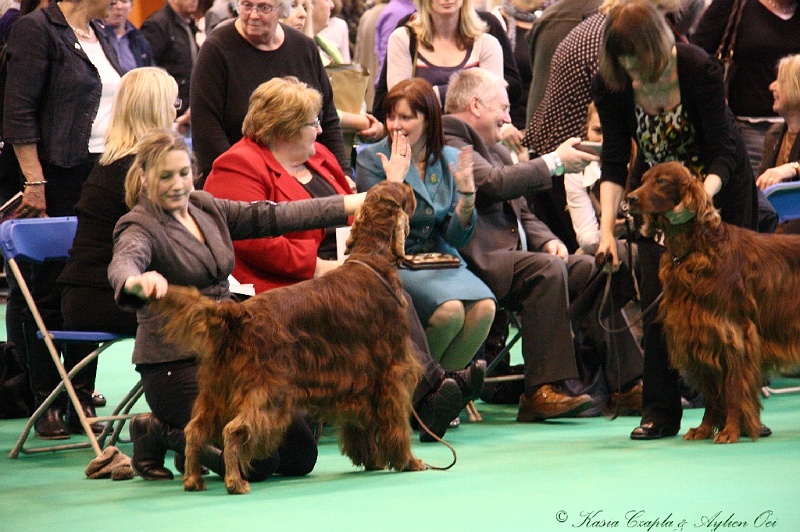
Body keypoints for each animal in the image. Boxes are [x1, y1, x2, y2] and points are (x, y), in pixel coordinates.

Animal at [149, 183, 424, 494]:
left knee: (195, 429)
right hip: (271, 390)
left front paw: (372, 461)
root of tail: (238, 313)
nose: (411, 186)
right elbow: (398, 423)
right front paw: (408, 461)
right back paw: (235, 481)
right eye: (405, 193)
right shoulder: (393, 372)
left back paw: (193, 479)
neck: (373, 258)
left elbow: (361, 425)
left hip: (216, 389)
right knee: (234, 429)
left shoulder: (358, 378)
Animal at [628, 163, 800, 444]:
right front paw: (705, 429)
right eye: (643, 179)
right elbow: (711, 393)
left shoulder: (732, 334)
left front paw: (730, 431)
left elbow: (732, 390)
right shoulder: (700, 334)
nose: (630, 199)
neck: (694, 251)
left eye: (662, 181)